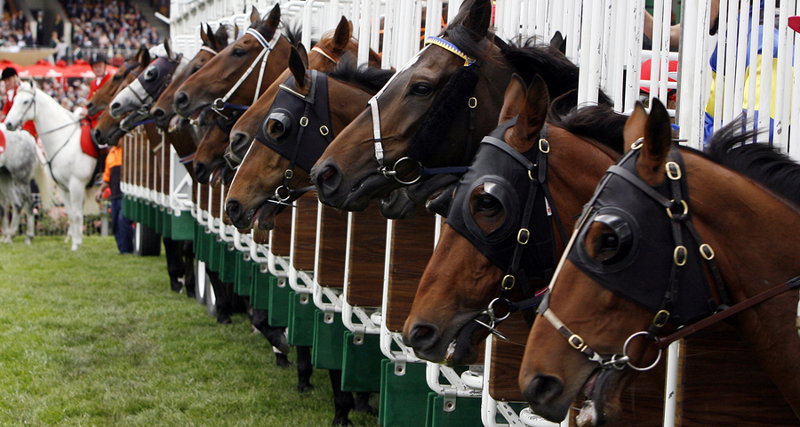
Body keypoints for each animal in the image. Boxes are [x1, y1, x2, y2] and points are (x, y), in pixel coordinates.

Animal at [5, 81, 96, 251]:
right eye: (14, 101)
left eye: (26, 101)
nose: (8, 123)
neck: (65, 141)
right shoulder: (64, 187)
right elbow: (71, 214)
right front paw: (75, 241)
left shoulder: (77, 185)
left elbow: (77, 214)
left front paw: (76, 245)